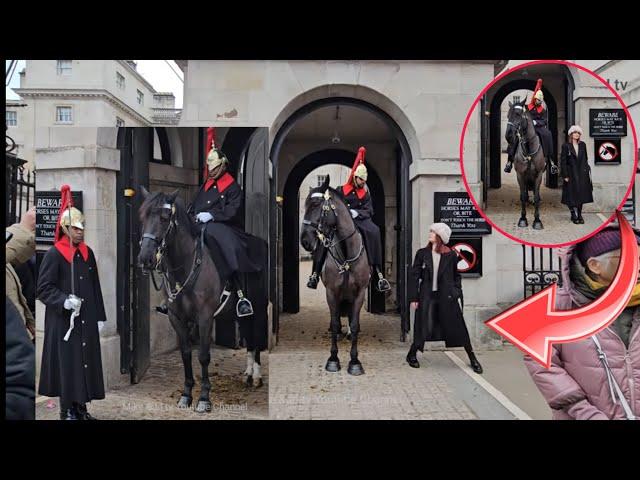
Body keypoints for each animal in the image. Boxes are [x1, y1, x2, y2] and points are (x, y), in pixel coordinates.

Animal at [138, 188, 262, 412]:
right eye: (142, 216)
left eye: (164, 217)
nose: (145, 258)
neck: (186, 265)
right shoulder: (176, 318)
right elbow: (186, 354)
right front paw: (186, 394)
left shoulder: (205, 318)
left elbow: (203, 356)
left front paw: (204, 398)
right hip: (240, 315)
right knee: (248, 336)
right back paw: (248, 374)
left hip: (259, 306)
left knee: (256, 337)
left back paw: (256, 375)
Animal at [300, 176, 370, 376]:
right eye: (305, 204)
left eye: (316, 204)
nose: (305, 241)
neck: (346, 253)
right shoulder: (331, 292)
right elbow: (335, 322)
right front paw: (333, 359)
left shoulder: (360, 292)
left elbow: (354, 325)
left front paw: (354, 361)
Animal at [508, 98, 548, 230]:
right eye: (508, 115)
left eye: (518, 114)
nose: (508, 135)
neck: (529, 148)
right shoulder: (520, 174)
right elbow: (522, 196)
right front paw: (523, 219)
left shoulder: (539, 174)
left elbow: (535, 196)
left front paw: (537, 220)